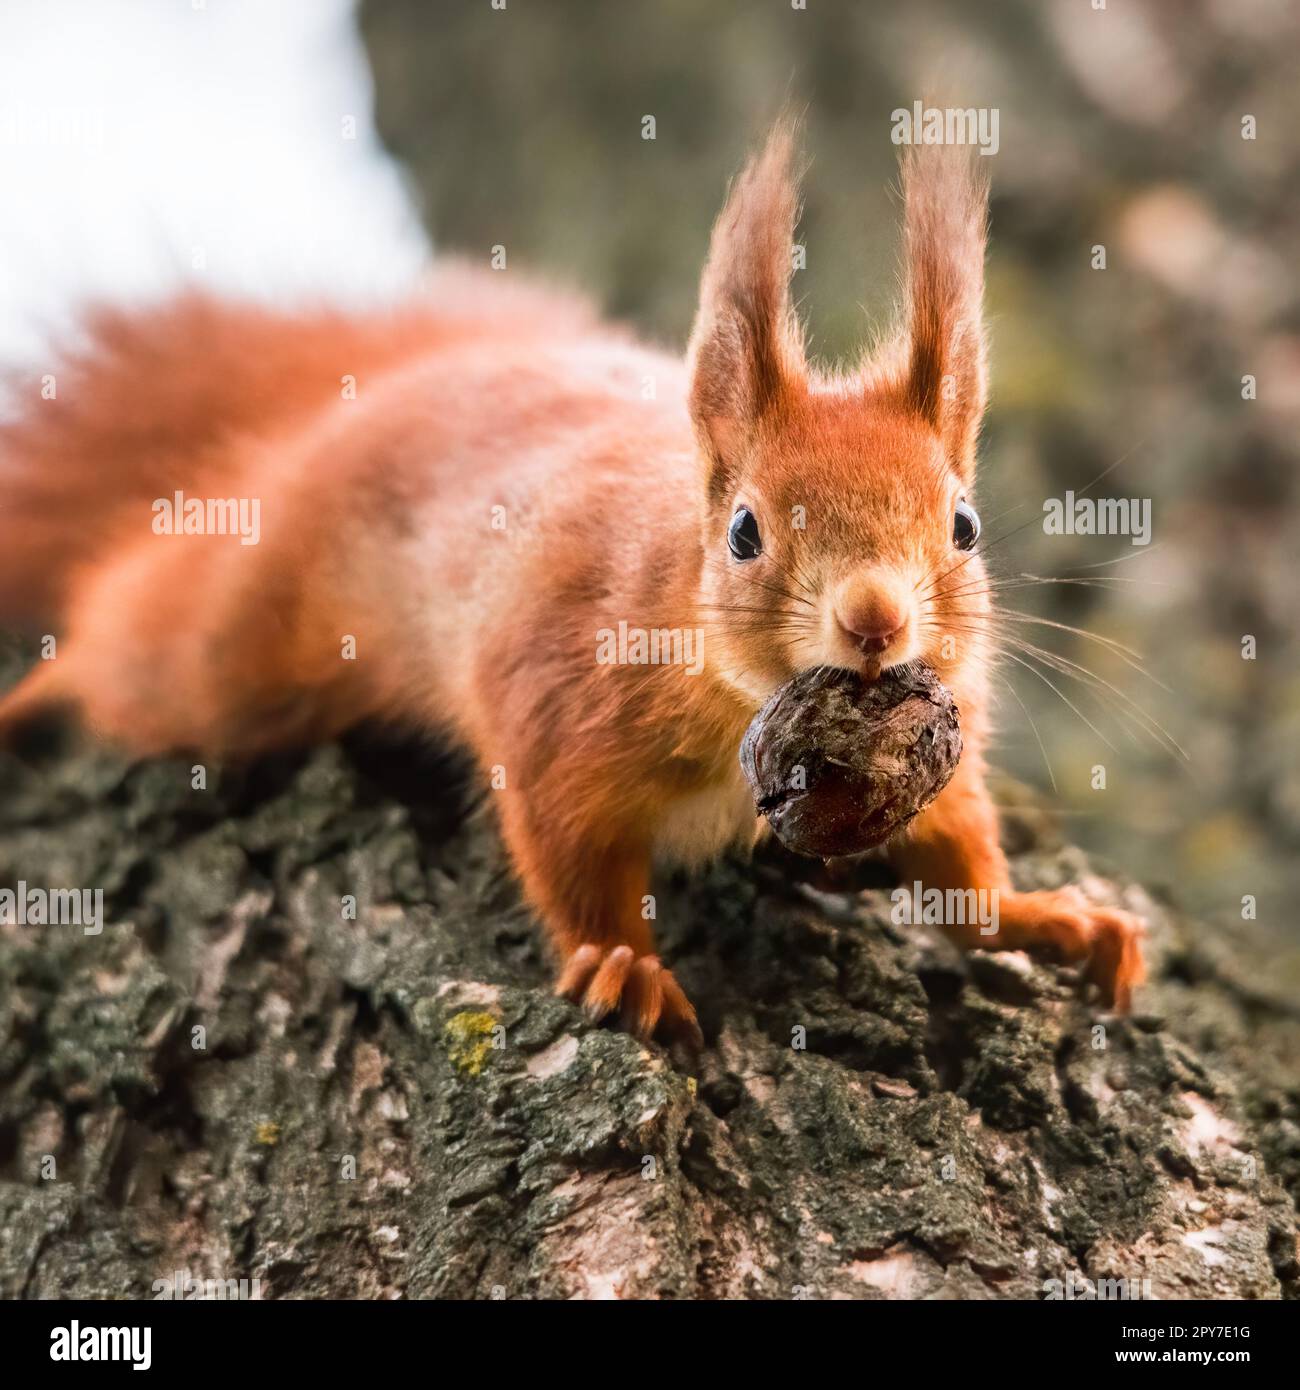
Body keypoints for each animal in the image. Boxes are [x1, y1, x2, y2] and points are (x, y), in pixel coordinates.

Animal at [0, 127, 1140, 1045]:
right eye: (743, 531)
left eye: (964, 525)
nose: (873, 619)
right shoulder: (559, 699)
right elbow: (570, 846)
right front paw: (623, 964)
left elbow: (959, 859)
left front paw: (1049, 918)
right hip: (240, 645)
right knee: (138, 639)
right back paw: (37, 691)